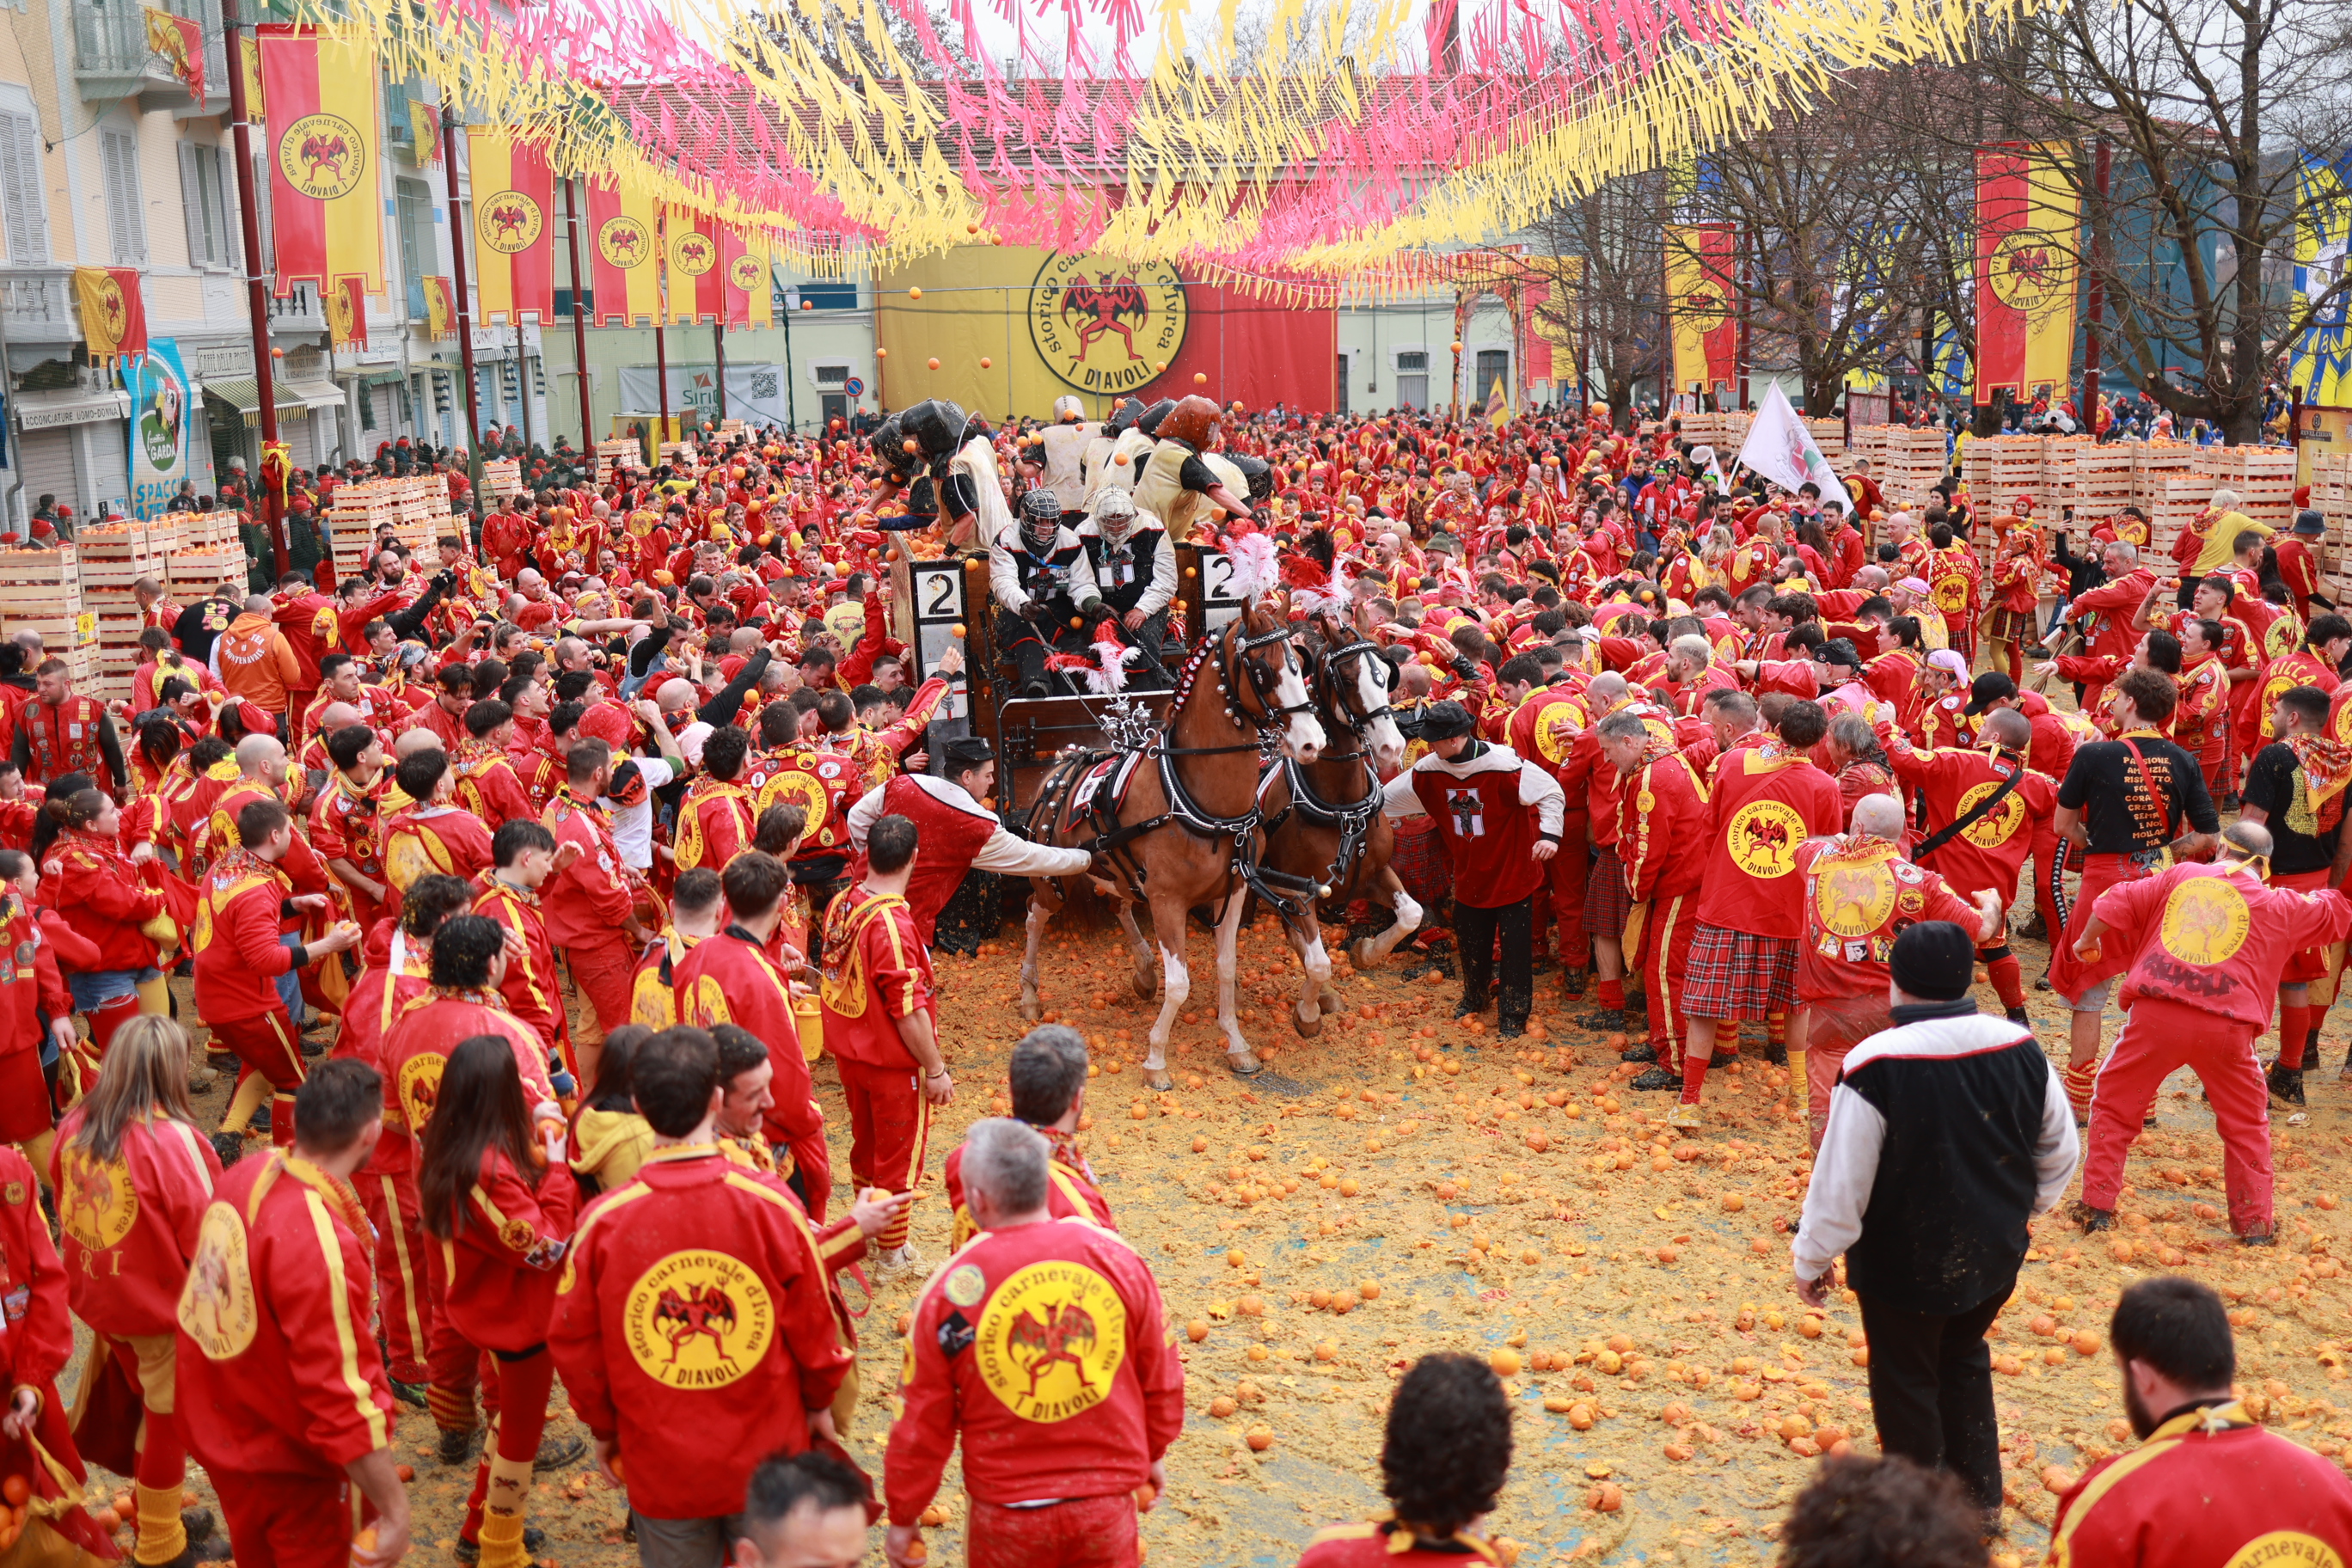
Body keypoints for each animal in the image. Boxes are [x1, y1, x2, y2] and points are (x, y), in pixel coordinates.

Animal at [1019, 597, 1326, 1090]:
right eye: (1263, 670)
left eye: (1301, 663)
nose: (1312, 743)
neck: (1199, 798)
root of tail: (1061, 763)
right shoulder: (1167, 900)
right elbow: (1180, 984)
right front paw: (1156, 1060)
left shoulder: (1234, 892)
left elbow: (1225, 967)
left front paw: (1237, 1046)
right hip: (1053, 879)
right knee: (1035, 917)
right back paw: (1029, 994)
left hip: (1117, 872)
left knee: (1118, 903)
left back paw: (1144, 971)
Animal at [1257, 606, 1420, 1036]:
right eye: (1346, 679)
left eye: (1386, 673)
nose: (1392, 746)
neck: (1343, 811)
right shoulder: (1297, 894)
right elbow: (1317, 961)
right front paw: (1308, 1012)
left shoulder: (1374, 873)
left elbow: (1411, 915)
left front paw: (1366, 951)